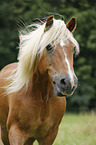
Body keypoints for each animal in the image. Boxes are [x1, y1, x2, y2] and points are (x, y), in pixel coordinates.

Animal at [0, 15, 79, 144]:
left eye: (72, 49)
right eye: (49, 47)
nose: (69, 83)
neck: (42, 97)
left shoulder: (49, 136)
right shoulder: (16, 133)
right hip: (4, 133)